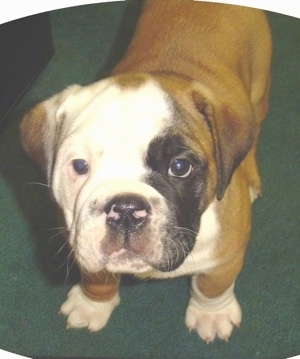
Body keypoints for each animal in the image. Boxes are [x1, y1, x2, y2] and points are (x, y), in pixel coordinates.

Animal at [19, 0, 272, 344]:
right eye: (80, 166)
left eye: (179, 167)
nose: (126, 209)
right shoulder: (83, 241)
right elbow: (96, 278)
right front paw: (92, 304)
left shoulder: (226, 256)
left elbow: (211, 286)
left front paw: (212, 314)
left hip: (258, 93)